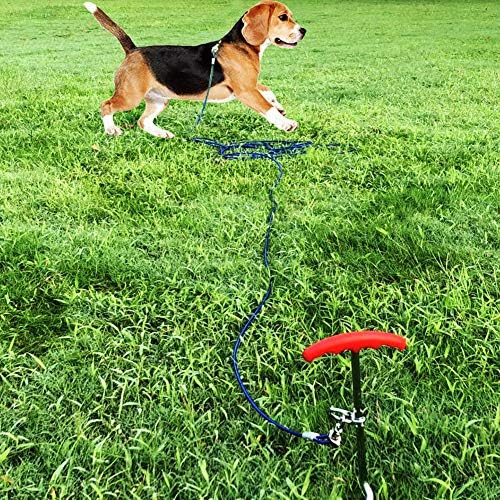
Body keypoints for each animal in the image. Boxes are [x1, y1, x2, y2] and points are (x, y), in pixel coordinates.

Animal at [83, 1, 306, 138]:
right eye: (283, 17)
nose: (303, 31)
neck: (241, 44)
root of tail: (133, 50)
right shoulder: (246, 90)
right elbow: (266, 108)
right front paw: (286, 123)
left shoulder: (251, 84)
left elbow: (267, 90)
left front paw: (279, 106)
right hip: (131, 96)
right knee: (106, 105)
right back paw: (111, 129)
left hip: (159, 99)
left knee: (143, 121)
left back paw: (162, 133)